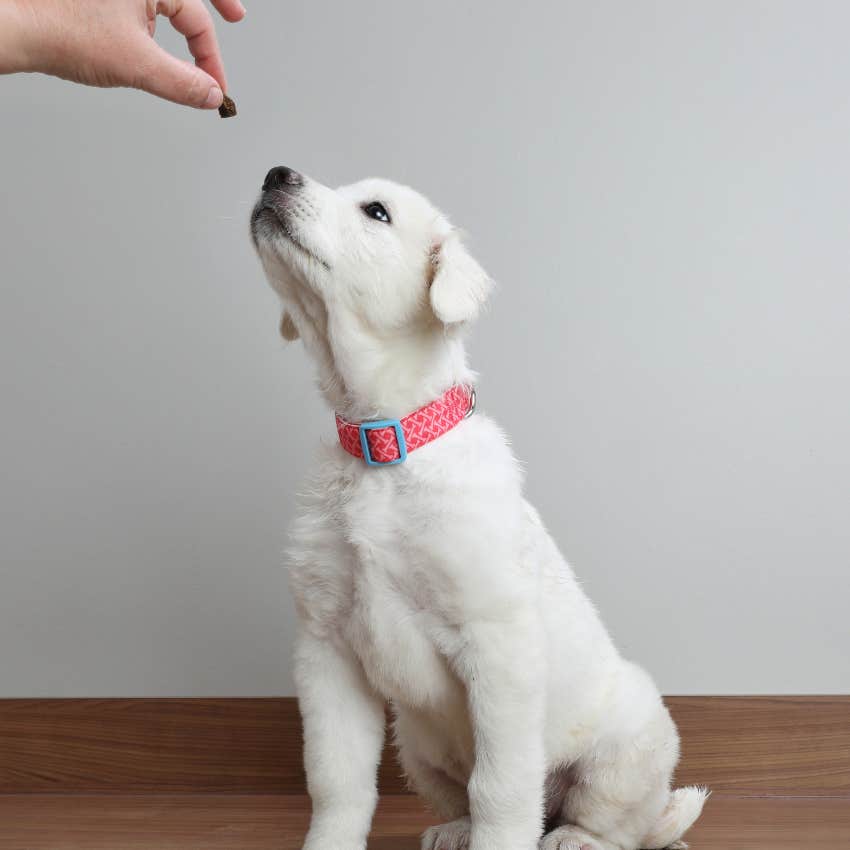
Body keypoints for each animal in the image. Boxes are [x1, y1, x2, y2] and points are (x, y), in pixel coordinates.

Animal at [248, 166, 704, 848]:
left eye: (376, 212)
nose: (276, 175)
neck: (384, 446)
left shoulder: (496, 645)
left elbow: (502, 786)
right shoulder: (326, 647)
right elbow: (336, 778)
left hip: (632, 741)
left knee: (615, 824)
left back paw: (574, 838)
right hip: (415, 745)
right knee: (461, 792)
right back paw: (454, 829)